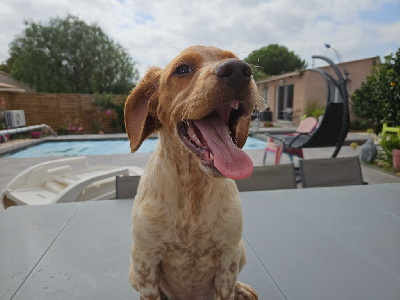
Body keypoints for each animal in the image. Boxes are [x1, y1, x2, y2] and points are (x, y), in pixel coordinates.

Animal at [125, 45, 260, 300]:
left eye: (235, 59)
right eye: (182, 69)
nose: (239, 70)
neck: (192, 188)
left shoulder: (228, 257)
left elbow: (226, 290)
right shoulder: (145, 259)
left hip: (240, 251)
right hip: (133, 271)